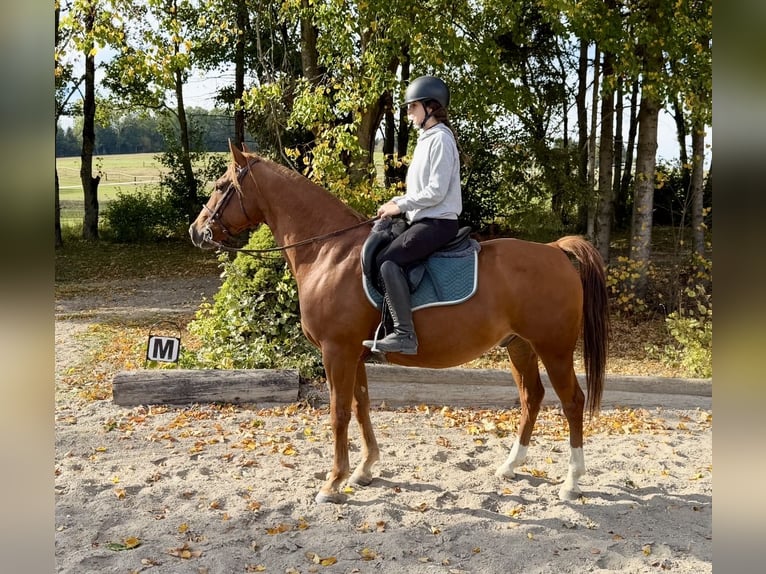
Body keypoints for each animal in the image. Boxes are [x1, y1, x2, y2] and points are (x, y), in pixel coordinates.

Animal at [189, 142, 610, 504]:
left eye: (222, 186)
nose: (196, 231)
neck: (329, 252)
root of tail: (555, 251)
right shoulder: (355, 354)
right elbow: (361, 406)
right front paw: (364, 469)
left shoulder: (336, 352)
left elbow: (339, 413)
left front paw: (333, 482)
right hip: (519, 345)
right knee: (531, 397)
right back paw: (510, 465)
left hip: (554, 348)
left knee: (572, 401)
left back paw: (571, 482)